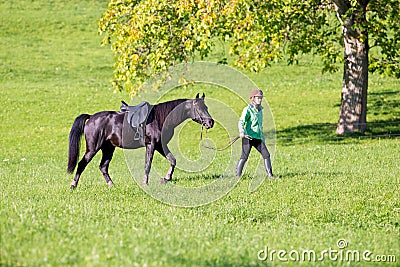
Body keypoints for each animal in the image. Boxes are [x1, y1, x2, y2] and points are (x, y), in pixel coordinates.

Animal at [67, 93, 214, 188]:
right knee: (82, 164)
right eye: (200, 108)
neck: (160, 118)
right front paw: (145, 182)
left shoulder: (160, 146)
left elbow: (173, 160)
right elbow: (148, 165)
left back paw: (111, 185)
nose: (210, 122)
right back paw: (73, 185)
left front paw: (166, 179)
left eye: (207, 107)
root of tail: (91, 117)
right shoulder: (151, 145)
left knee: (103, 167)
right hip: (93, 148)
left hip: (108, 148)